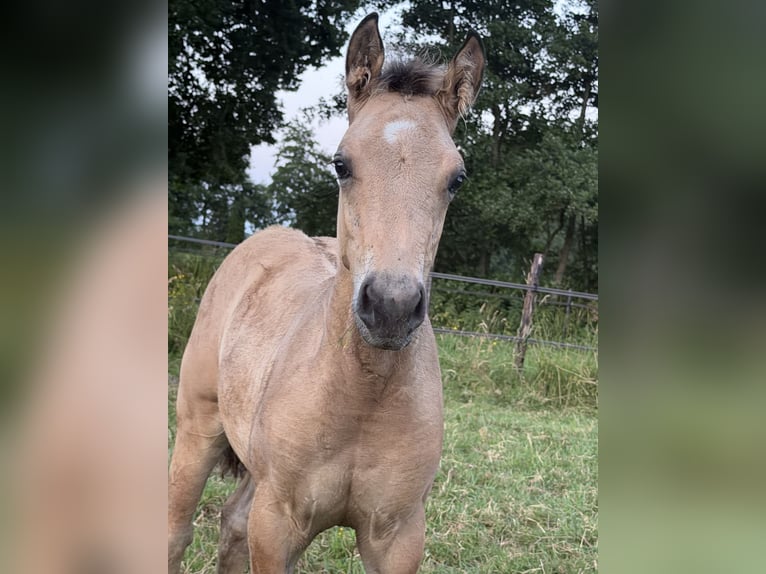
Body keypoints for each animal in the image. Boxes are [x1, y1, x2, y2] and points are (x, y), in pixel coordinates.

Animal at [168, 13, 485, 573]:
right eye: (342, 163)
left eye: (457, 178)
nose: (390, 308)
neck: (359, 400)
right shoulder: (278, 524)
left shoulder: (399, 535)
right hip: (197, 427)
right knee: (177, 531)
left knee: (231, 523)